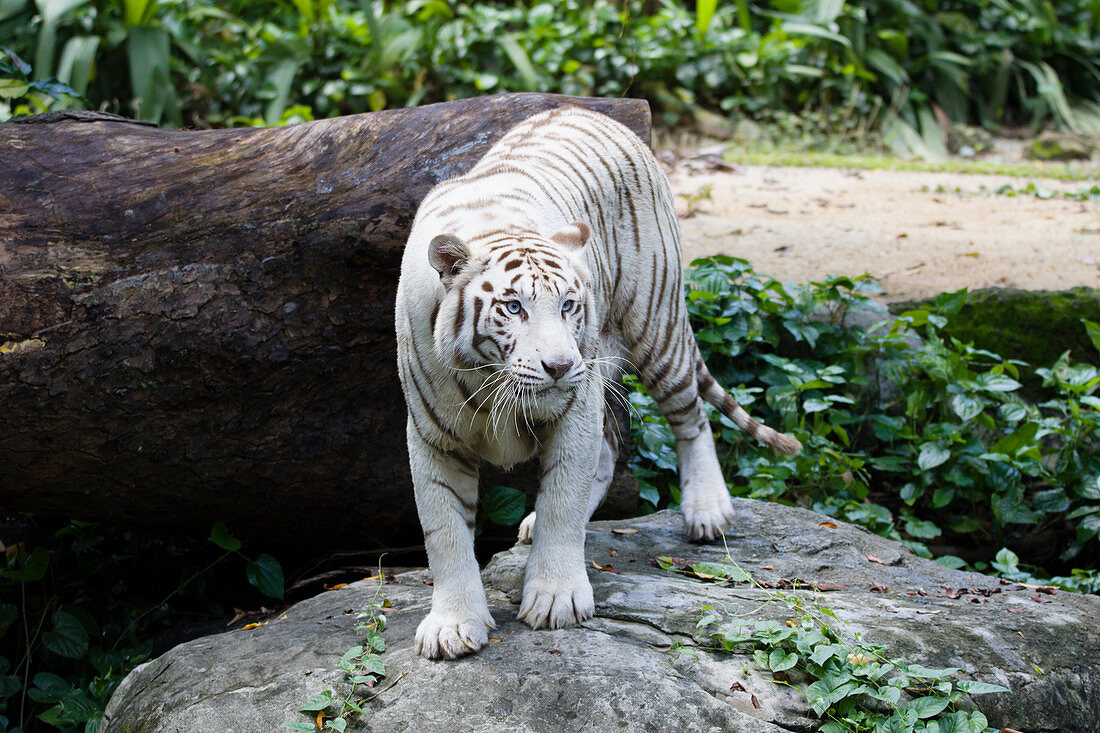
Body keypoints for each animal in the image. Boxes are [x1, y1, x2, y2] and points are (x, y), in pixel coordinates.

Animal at [396, 105, 800, 660]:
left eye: (568, 304)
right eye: (513, 307)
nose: (560, 365)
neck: (491, 380)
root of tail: (587, 109)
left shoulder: (575, 408)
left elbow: (563, 501)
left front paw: (556, 598)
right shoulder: (433, 435)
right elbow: (445, 533)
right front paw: (453, 626)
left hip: (655, 327)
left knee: (691, 419)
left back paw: (708, 510)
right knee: (609, 453)